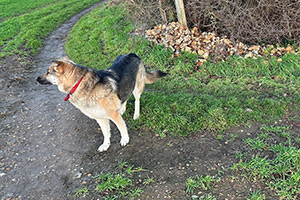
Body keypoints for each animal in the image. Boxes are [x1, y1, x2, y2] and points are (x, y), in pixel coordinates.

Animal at [36, 53, 166, 152]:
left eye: (48, 72)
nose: (36, 79)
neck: (78, 83)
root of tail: (132, 54)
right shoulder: (100, 118)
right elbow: (105, 133)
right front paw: (106, 145)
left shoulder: (112, 115)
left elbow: (121, 127)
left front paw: (125, 139)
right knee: (124, 96)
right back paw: (122, 108)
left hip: (137, 88)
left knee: (137, 100)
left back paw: (136, 114)